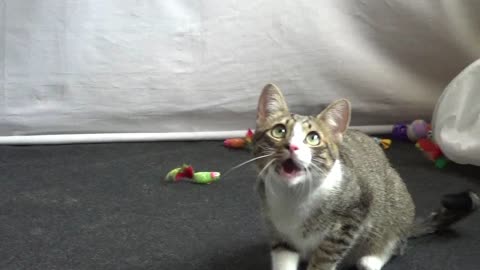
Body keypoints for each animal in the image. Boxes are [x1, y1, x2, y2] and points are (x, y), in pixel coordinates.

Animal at [253, 84, 478, 270]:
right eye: (279, 131)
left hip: (396, 202)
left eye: (313, 138)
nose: (291, 146)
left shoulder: (354, 212)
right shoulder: (277, 229)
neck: (294, 194)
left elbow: (326, 257)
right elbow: (283, 254)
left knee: (395, 241)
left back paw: (373, 258)